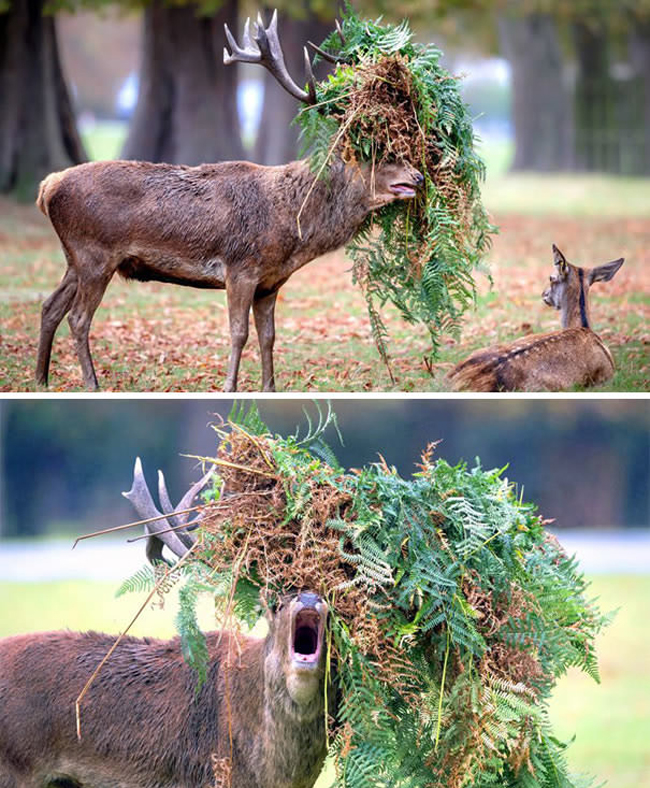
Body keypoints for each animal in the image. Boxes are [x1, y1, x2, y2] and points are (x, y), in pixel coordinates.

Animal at [35, 10, 422, 392]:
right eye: (377, 152)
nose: (418, 177)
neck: (291, 230)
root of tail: (48, 187)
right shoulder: (240, 267)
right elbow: (239, 333)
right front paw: (229, 387)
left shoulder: (270, 282)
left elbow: (269, 337)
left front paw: (269, 388)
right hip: (95, 254)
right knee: (78, 318)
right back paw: (91, 384)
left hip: (75, 258)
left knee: (50, 306)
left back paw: (41, 378)